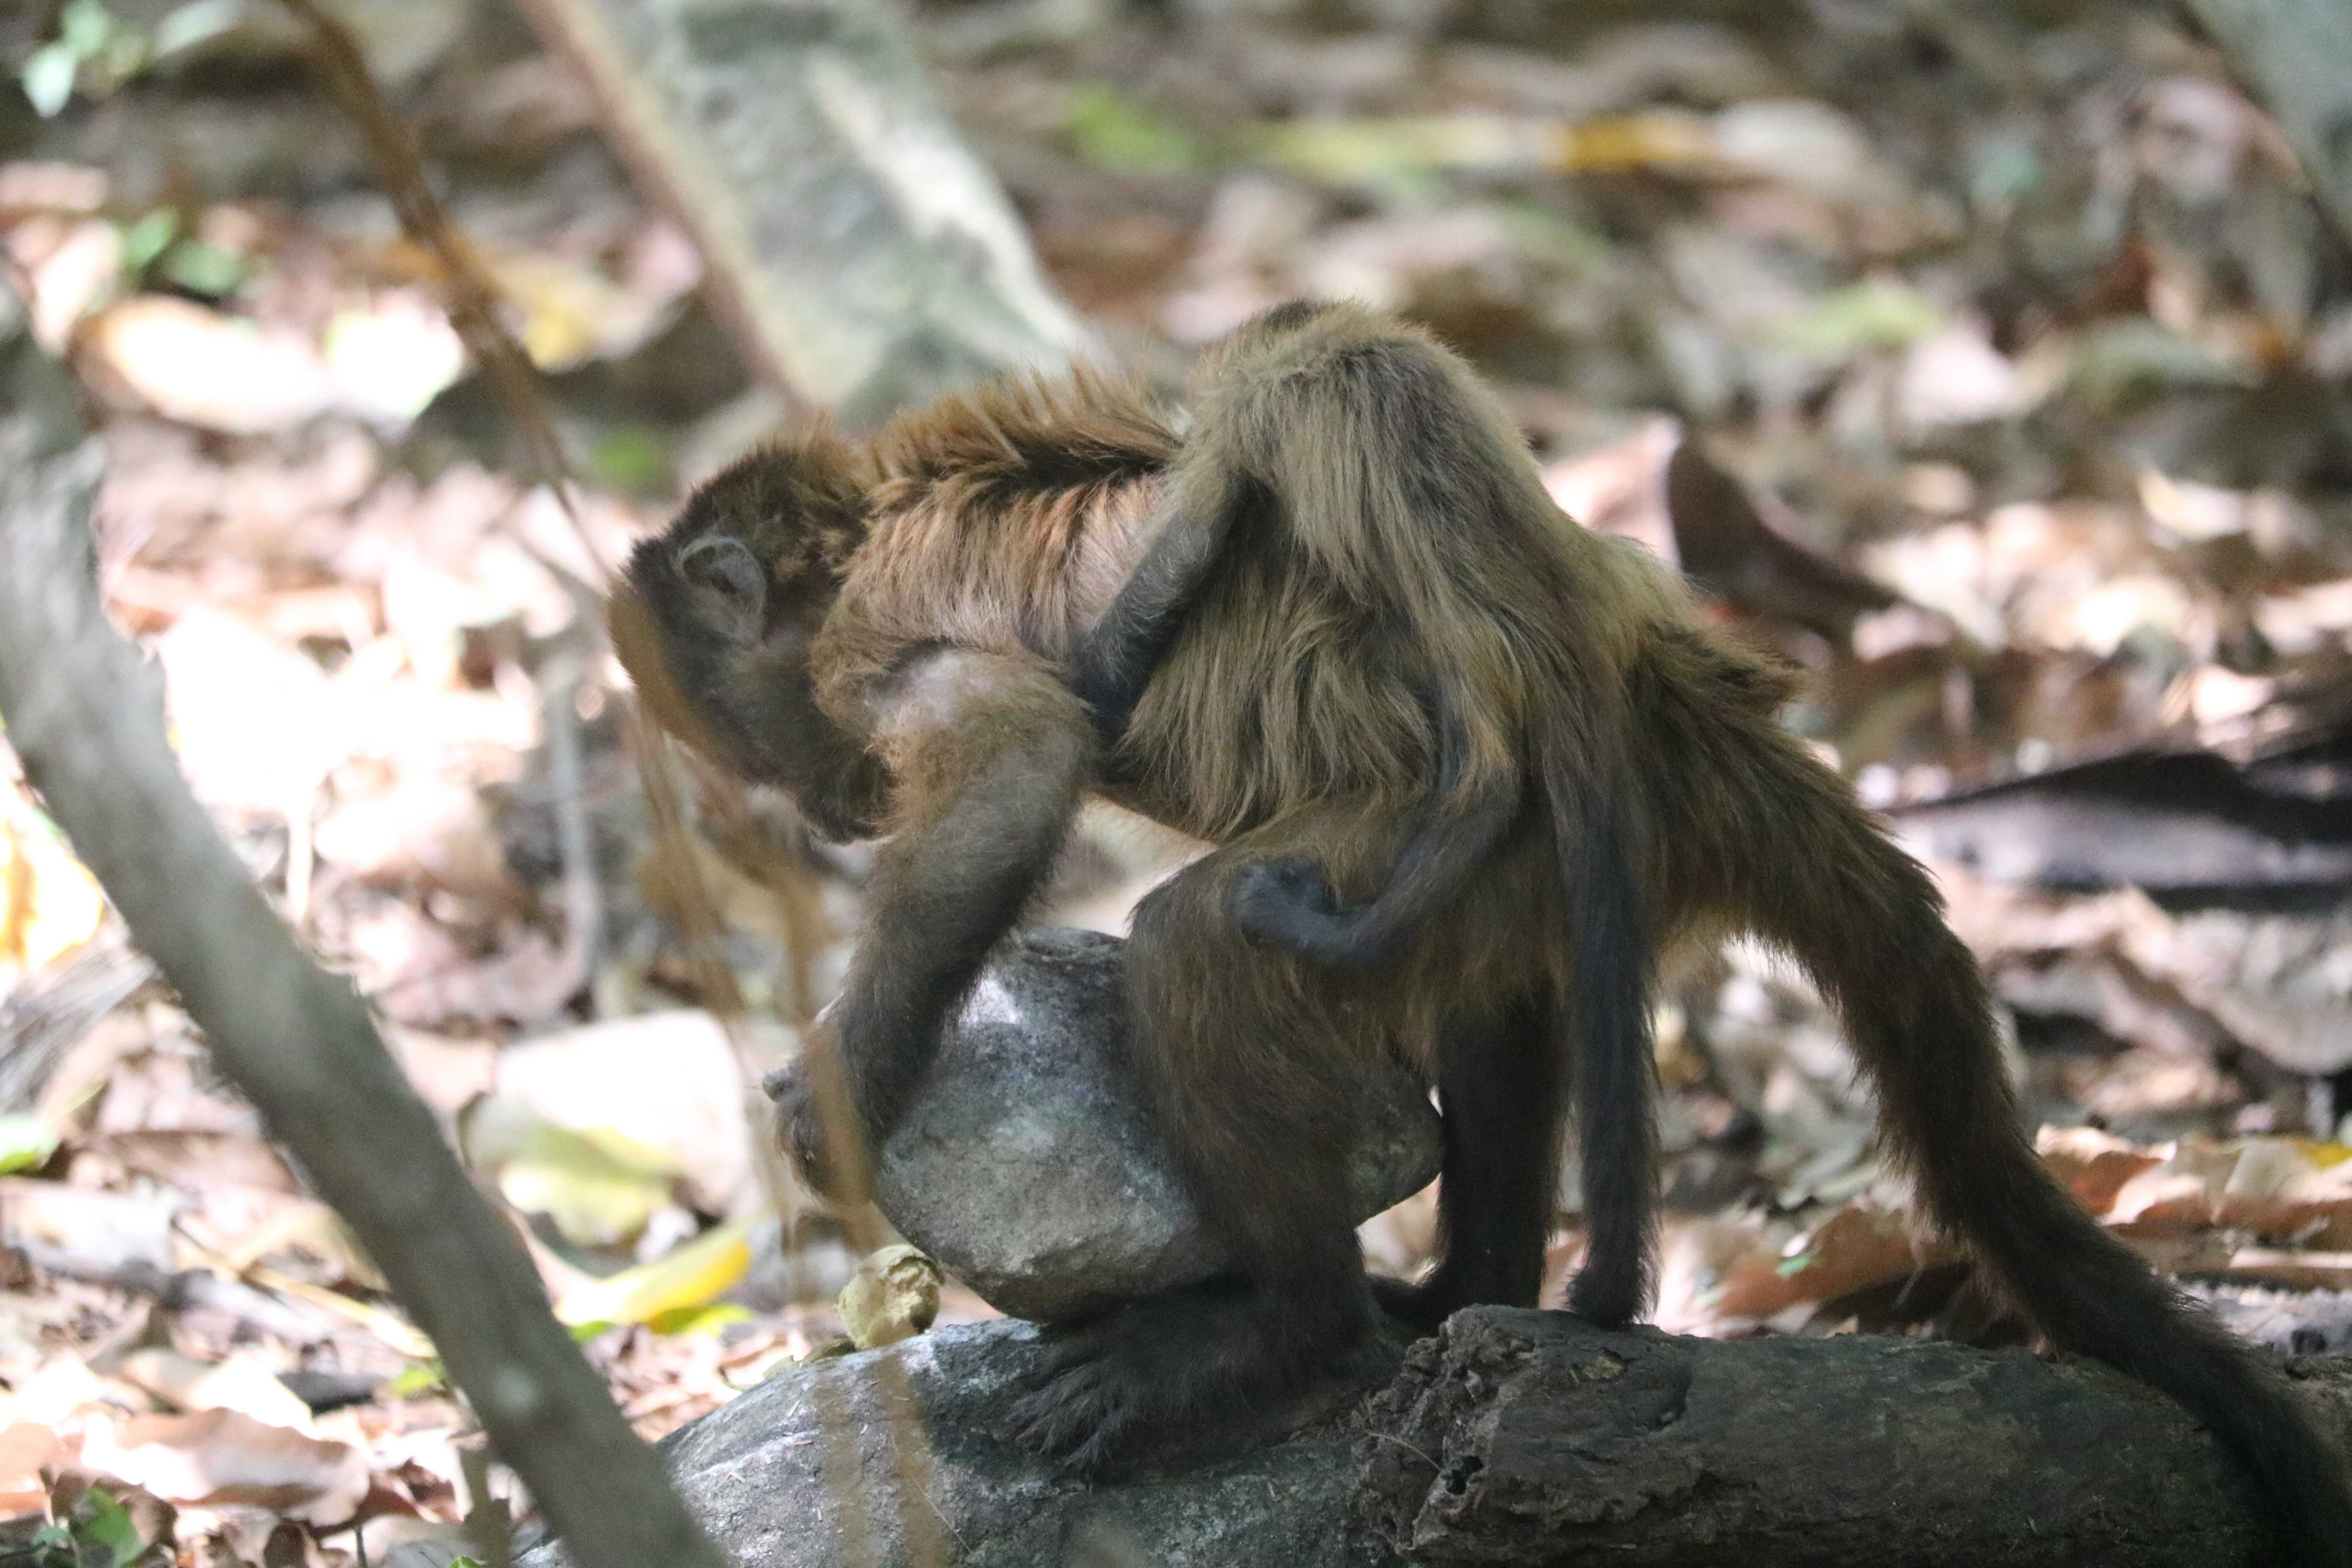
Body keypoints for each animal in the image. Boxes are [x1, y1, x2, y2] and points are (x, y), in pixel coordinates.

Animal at [612, 301, 2352, 1561]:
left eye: (741, 739)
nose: (826, 813)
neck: (858, 541)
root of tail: (1674, 705)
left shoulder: (880, 656)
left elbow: (1017, 763)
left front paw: (845, 1085)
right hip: (1529, 871)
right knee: (1489, 1008)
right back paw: (1463, 1295)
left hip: (1474, 827)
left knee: (1208, 941)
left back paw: (1291, 1336)